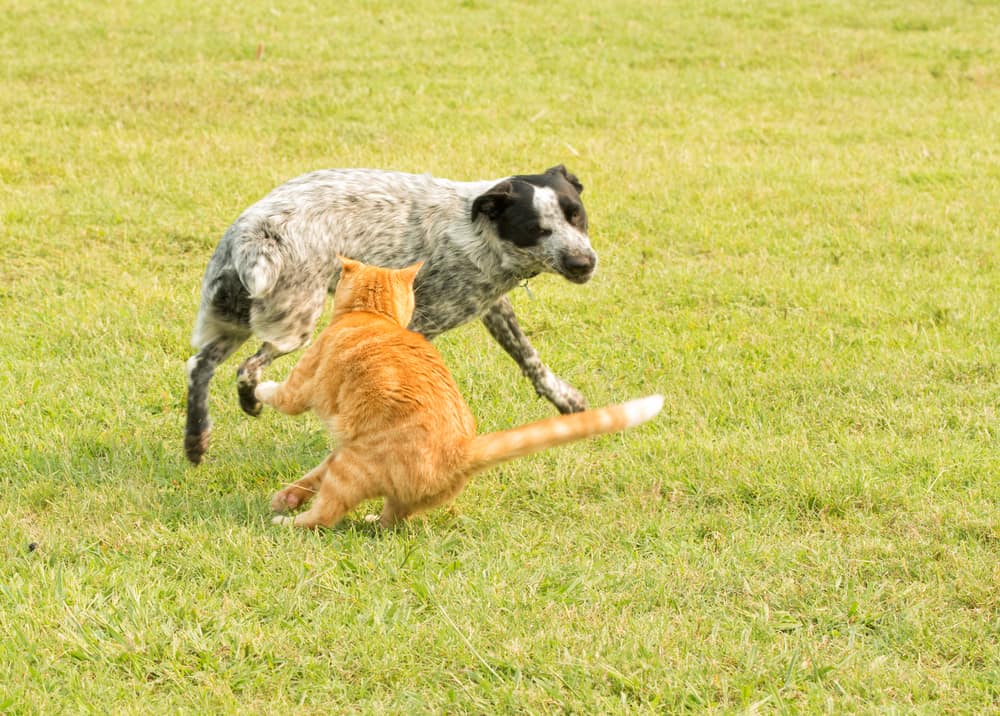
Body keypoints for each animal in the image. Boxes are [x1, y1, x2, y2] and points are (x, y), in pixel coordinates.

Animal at [185, 164, 596, 464]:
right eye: (536, 229)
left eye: (576, 216)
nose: (583, 263)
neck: (482, 232)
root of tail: (255, 233)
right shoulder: (422, 322)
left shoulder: (490, 305)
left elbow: (529, 358)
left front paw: (565, 401)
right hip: (292, 324)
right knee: (246, 369)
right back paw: (245, 404)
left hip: (232, 317)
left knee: (199, 366)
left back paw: (196, 438)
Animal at [254, 256, 660, 524]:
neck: (373, 314)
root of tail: (460, 451)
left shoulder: (302, 384)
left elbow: (281, 395)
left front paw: (258, 387)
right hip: (365, 468)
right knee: (389, 520)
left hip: (351, 468)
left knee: (323, 517)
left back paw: (287, 522)